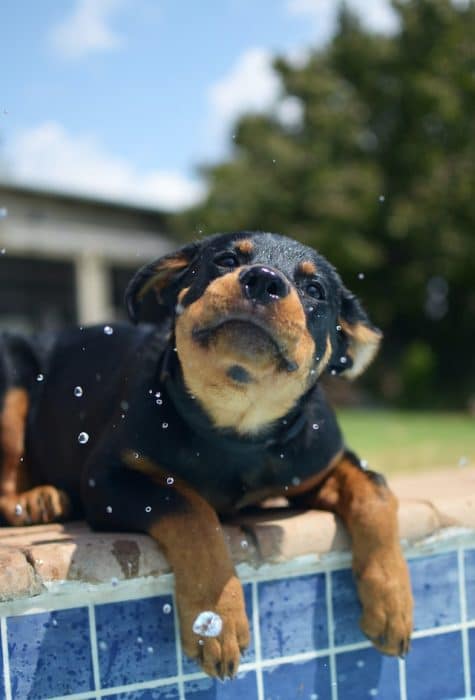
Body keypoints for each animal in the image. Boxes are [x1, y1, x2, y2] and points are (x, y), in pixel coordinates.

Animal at [0, 234, 412, 680]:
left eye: (315, 290)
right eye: (226, 260)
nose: (263, 280)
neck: (235, 428)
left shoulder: (322, 461)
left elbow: (376, 491)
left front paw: (392, 601)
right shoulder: (107, 478)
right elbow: (192, 510)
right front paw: (216, 619)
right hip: (11, 384)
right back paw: (33, 501)